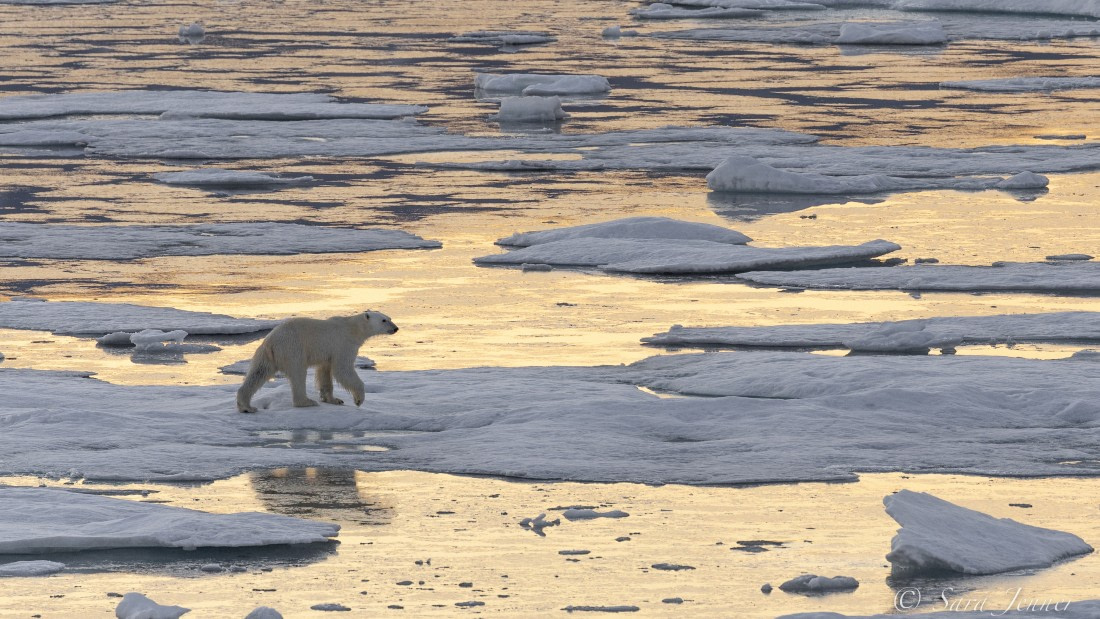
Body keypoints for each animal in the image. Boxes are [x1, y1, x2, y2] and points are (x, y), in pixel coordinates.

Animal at [236, 310, 398, 413]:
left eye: (390, 317)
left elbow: (325, 372)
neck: (352, 328)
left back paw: (246, 407)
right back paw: (306, 402)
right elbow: (343, 369)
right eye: (384, 320)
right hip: (293, 348)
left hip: (266, 355)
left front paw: (334, 399)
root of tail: (271, 341)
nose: (396, 328)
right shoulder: (343, 344)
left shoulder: (327, 354)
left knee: (258, 373)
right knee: (298, 374)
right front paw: (358, 399)